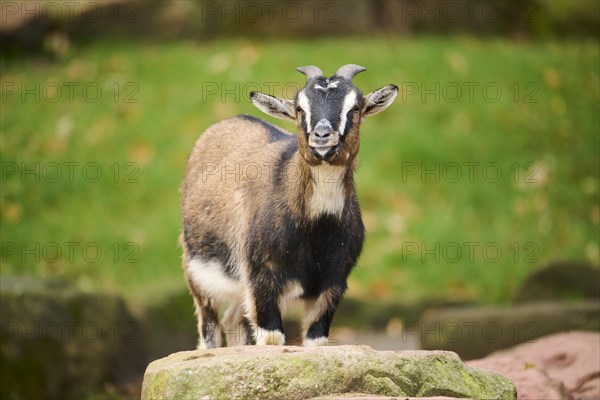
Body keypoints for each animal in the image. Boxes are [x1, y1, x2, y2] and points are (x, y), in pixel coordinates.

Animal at [183, 65, 398, 346]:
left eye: (355, 108)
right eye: (299, 108)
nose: (321, 136)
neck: (316, 234)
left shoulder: (333, 284)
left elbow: (316, 341)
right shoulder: (262, 282)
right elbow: (272, 339)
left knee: (234, 320)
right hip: (198, 274)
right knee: (209, 326)